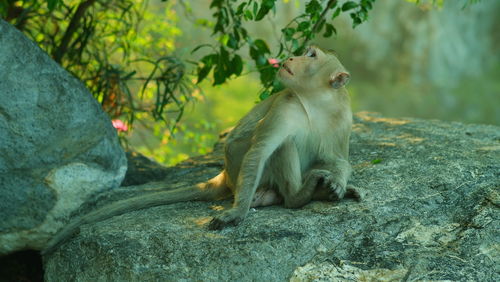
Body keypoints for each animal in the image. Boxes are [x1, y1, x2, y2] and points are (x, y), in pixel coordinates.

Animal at [43, 46, 362, 256]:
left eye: (312, 55)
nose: (293, 57)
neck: (316, 101)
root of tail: (225, 176)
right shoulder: (285, 106)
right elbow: (259, 152)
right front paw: (237, 213)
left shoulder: (343, 116)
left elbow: (338, 159)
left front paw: (337, 183)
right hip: (242, 172)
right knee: (283, 146)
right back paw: (297, 196)